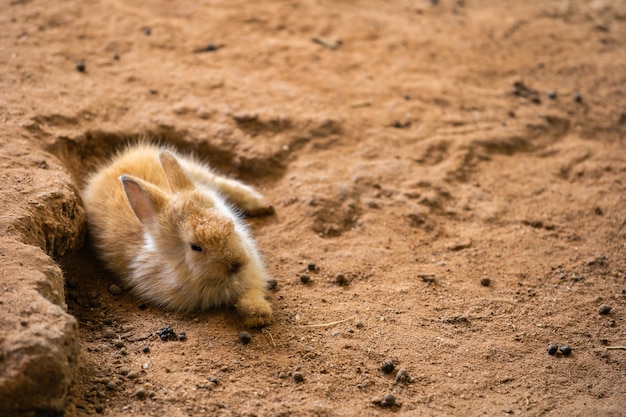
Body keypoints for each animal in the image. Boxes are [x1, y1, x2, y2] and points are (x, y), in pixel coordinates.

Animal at [80, 145, 272, 326]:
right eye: (196, 247)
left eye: (230, 223)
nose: (236, 265)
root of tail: (113, 165)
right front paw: (258, 317)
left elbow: (252, 292)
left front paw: (260, 313)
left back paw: (261, 204)